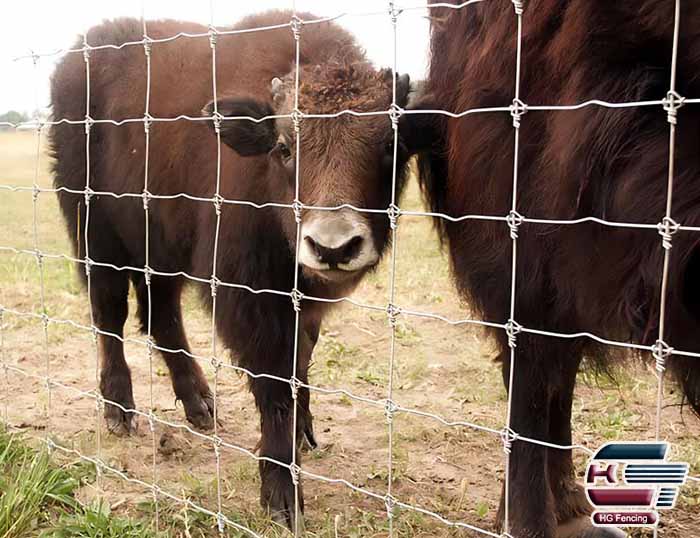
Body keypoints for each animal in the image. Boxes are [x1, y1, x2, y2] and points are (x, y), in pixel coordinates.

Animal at [50, 10, 410, 524]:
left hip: (161, 248)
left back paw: (199, 404)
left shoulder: (302, 302)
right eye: (284, 147)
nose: (334, 246)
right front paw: (282, 494)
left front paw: (306, 431)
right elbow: (275, 383)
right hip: (96, 236)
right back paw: (119, 409)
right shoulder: (250, 297)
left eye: (389, 147)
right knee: (110, 315)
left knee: (161, 316)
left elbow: (300, 361)